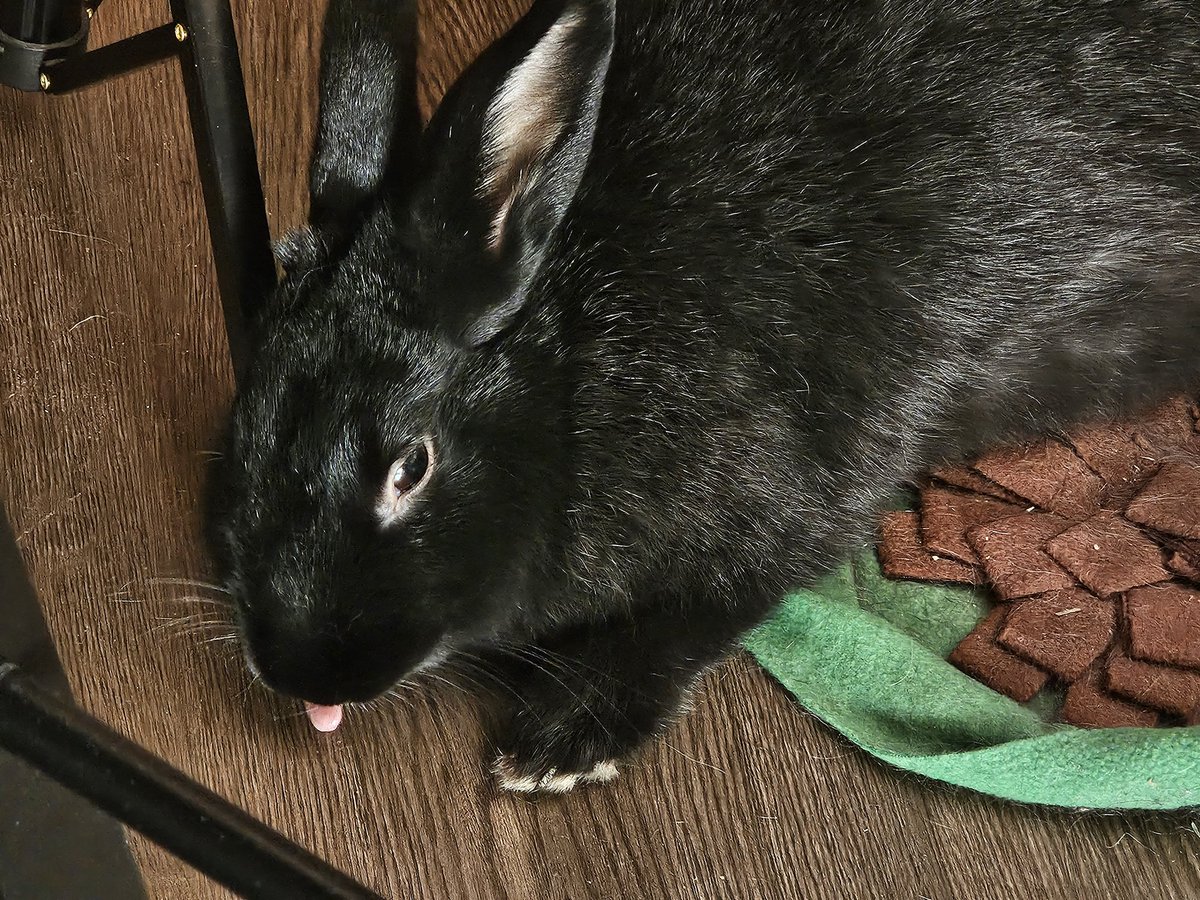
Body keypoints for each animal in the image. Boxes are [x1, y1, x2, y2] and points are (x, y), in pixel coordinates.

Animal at [207, 0, 1200, 793]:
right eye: (242, 427)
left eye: (410, 466)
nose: (300, 672)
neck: (573, 360)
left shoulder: (807, 492)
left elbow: (706, 610)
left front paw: (556, 749)